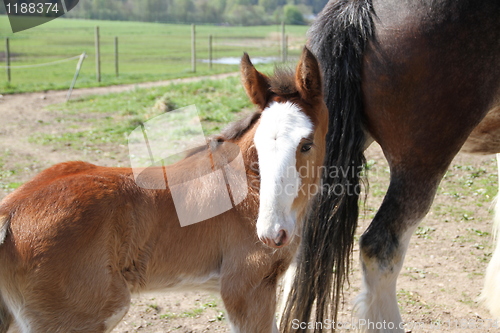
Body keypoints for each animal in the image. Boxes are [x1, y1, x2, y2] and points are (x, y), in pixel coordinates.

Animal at [0, 47, 328, 332]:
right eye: (256, 148)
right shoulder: (246, 289)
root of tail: (10, 213)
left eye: (306, 144)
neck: (248, 191)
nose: (272, 233)